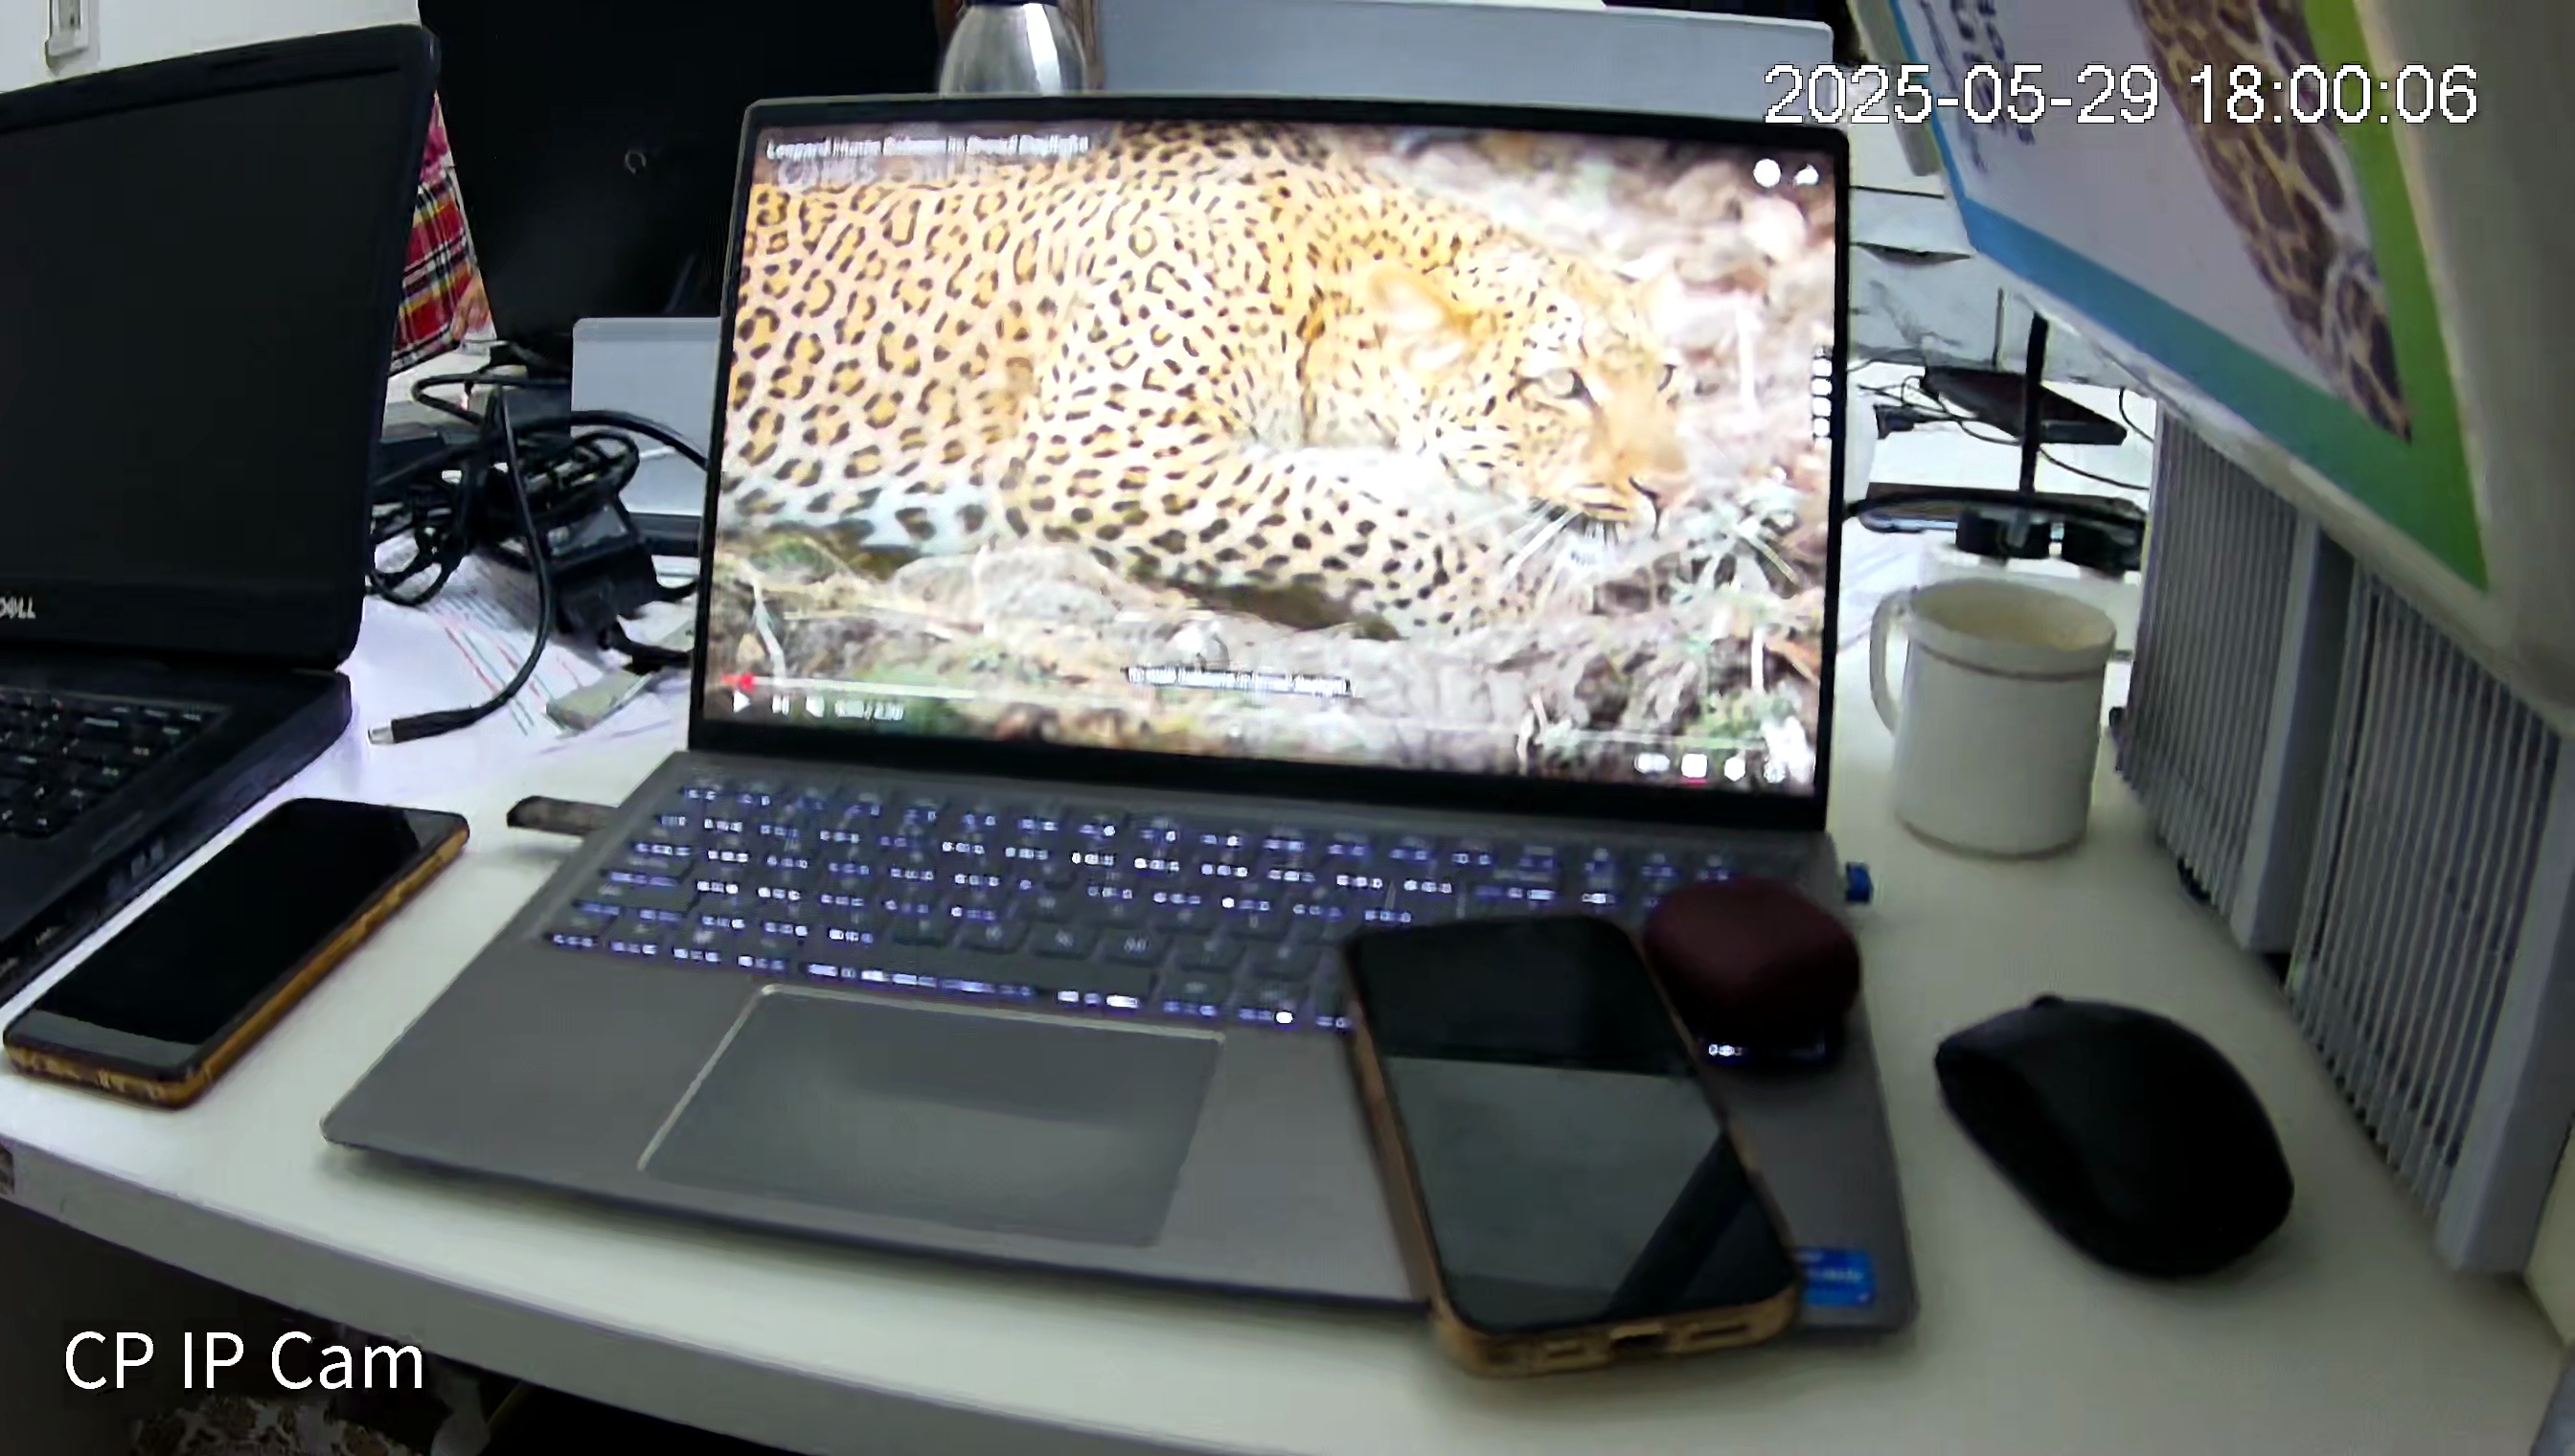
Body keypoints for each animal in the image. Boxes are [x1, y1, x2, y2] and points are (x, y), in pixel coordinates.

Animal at [719, 122, 1692, 637]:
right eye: (1563, 387)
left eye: (1669, 377)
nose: (1672, 493)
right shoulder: (1100, 444)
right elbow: (1345, 514)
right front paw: (1510, 609)